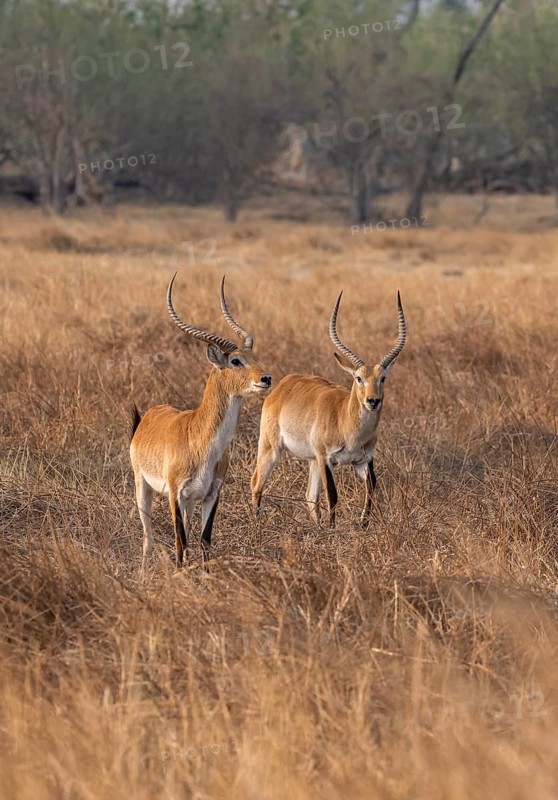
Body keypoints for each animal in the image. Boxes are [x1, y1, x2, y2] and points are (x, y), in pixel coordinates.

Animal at [130, 274, 272, 568]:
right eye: (235, 360)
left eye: (253, 357)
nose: (265, 378)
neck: (199, 440)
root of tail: (148, 416)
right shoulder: (175, 493)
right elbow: (180, 542)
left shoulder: (211, 493)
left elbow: (205, 540)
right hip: (143, 488)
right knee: (148, 538)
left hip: (190, 503)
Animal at [251, 291, 406, 525]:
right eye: (358, 378)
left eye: (383, 378)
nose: (373, 401)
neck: (347, 425)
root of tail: (283, 385)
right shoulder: (327, 459)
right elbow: (332, 496)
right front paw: (333, 529)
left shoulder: (362, 460)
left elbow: (371, 488)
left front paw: (363, 524)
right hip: (271, 447)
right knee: (257, 483)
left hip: (312, 460)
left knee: (309, 496)